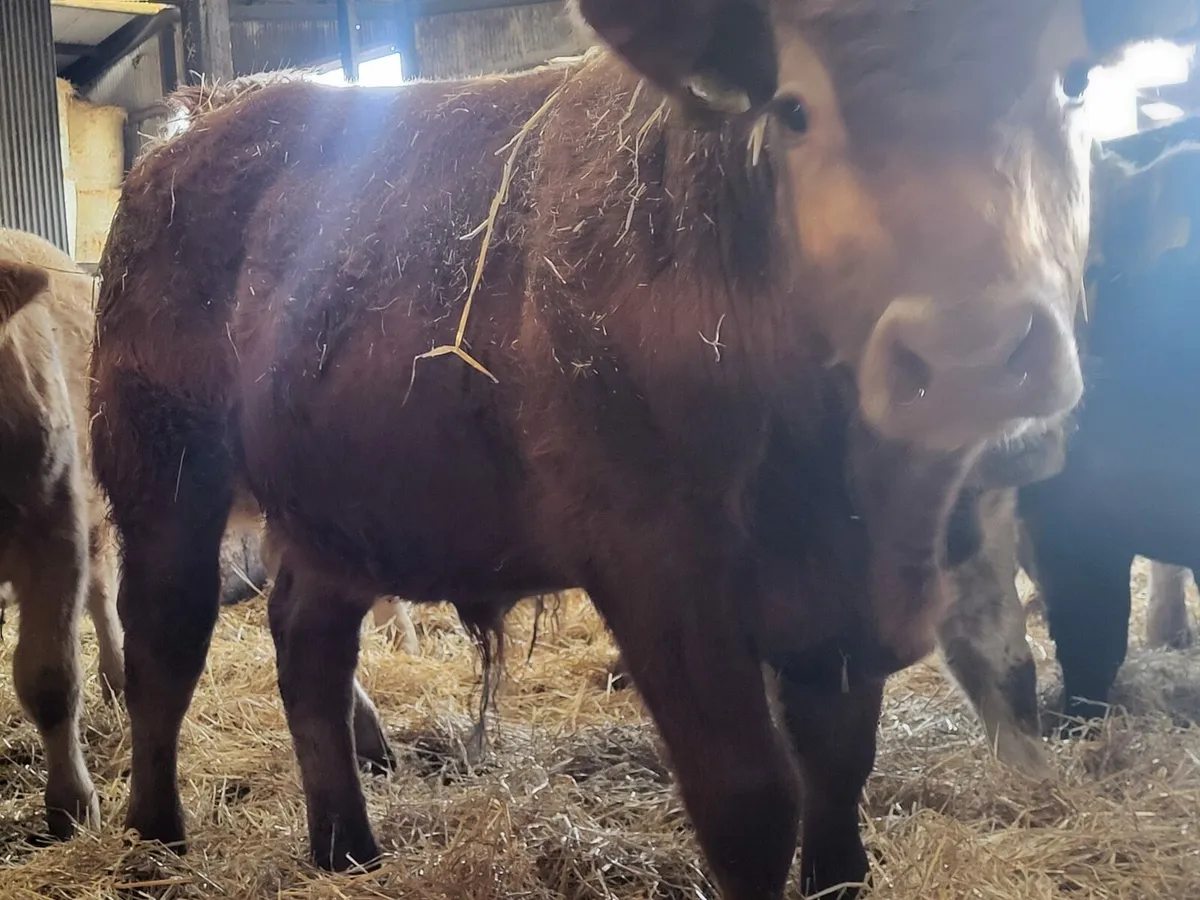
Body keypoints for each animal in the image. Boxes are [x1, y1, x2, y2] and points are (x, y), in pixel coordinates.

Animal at [86, 2, 1192, 898]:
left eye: (1073, 79)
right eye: (793, 108)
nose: (971, 350)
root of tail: (203, 121)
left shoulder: (839, 600)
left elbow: (838, 774)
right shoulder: (661, 570)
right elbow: (751, 800)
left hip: (341, 499)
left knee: (308, 641)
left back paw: (345, 847)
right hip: (162, 469)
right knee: (165, 640)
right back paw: (153, 837)